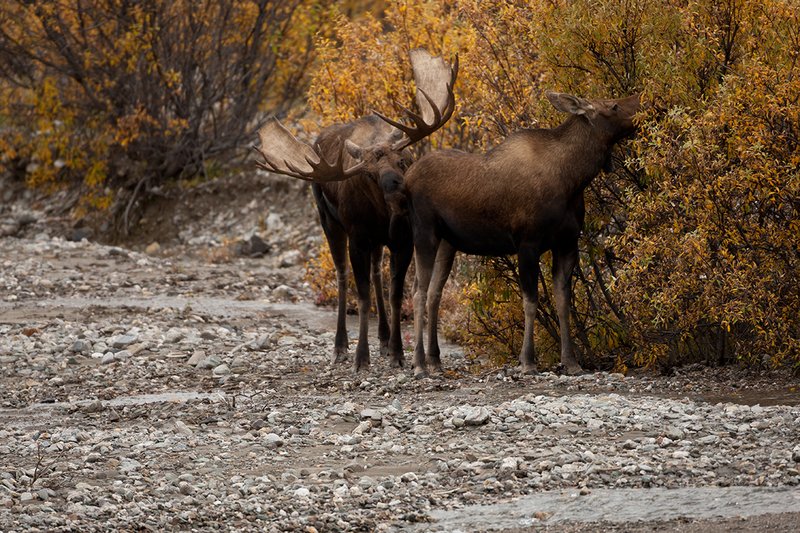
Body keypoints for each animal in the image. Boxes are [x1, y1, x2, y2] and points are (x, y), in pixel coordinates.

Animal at [253, 49, 457, 373]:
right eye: (370, 175)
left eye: (403, 160)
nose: (399, 195)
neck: (384, 217)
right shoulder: (358, 238)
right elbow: (361, 297)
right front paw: (361, 356)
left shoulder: (402, 240)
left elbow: (395, 294)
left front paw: (397, 352)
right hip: (330, 223)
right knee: (342, 275)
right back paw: (340, 346)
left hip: (374, 242)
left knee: (375, 273)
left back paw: (384, 338)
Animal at [404, 91, 642, 378]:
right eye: (614, 106)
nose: (642, 101)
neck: (572, 179)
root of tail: (406, 177)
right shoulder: (528, 243)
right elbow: (531, 301)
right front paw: (528, 360)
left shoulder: (567, 242)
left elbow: (563, 301)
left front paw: (571, 361)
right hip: (424, 232)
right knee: (418, 291)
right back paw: (419, 363)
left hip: (447, 243)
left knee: (433, 293)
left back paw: (435, 360)